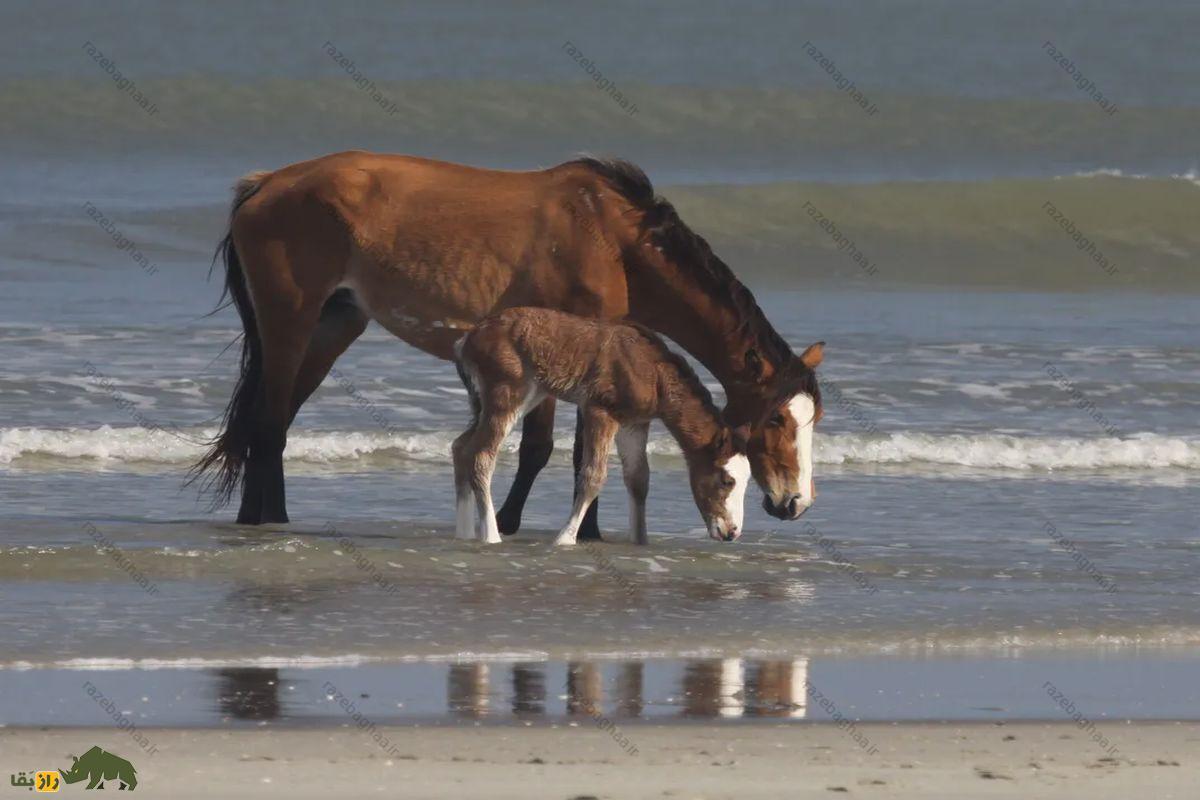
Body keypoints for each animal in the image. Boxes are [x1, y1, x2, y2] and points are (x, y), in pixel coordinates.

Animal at [453, 307, 753, 544]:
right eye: (727, 480)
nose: (732, 532)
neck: (654, 373)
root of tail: (467, 339)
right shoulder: (599, 411)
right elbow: (593, 476)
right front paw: (564, 540)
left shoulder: (635, 424)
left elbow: (638, 479)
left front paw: (640, 541)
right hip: (508, 393)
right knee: (481, 455)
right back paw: (491, 536)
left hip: (515, 397)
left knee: (461, 447)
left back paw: (465, 532)